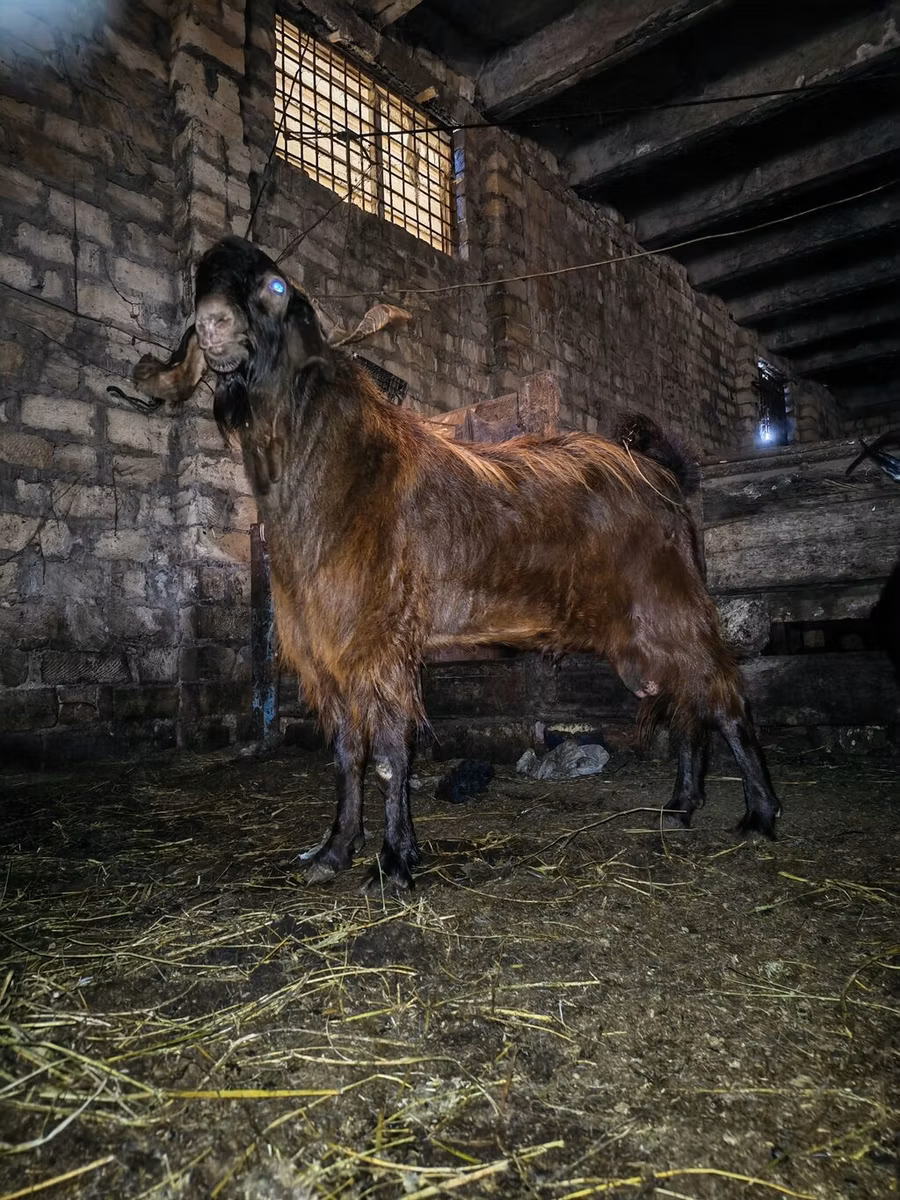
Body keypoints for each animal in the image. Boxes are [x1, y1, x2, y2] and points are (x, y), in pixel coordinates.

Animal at [134, 235, 781, 888]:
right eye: (202, 281)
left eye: (274, 286)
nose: (213, 323)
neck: (340, 468)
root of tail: (662, 477)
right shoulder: (329, 650)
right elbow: (346, 753)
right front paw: (334, 852)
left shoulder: (378, 641)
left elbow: (390, 753)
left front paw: (394, 862)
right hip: (641, 636)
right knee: (686, 708)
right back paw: (680, 806)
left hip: (672, 608)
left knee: (726, 701)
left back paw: (759, 813)